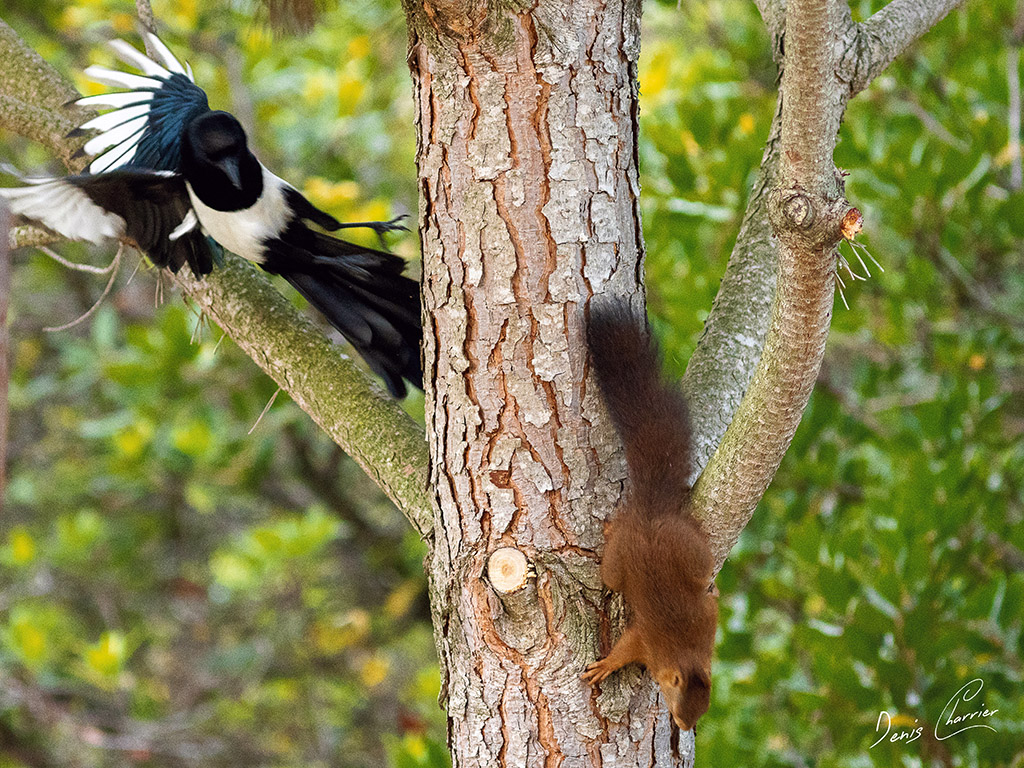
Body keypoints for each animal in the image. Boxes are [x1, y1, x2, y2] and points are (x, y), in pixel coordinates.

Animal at [581, 301, 718, 738]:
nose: (684, 726)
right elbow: (625, 648)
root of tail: (652, 514)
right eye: (677, 706)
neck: (683, 652)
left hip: (688, 552)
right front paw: (606, 666)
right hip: (626, 563)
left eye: (702, 712)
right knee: (611, 574)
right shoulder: (646, 641)